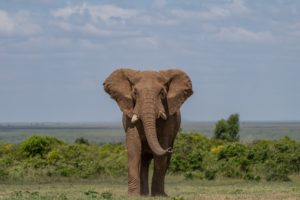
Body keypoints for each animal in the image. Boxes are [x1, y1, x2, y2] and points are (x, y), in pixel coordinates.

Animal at [102, 68, 192, 196]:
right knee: (144, 161)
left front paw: (158, 196)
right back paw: (143, 194)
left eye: (162, 92)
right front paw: (133, 196)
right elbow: (134, 148)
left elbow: (161, 151)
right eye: (135, 92)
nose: (169, 149)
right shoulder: (129, 115)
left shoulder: (169, 116)